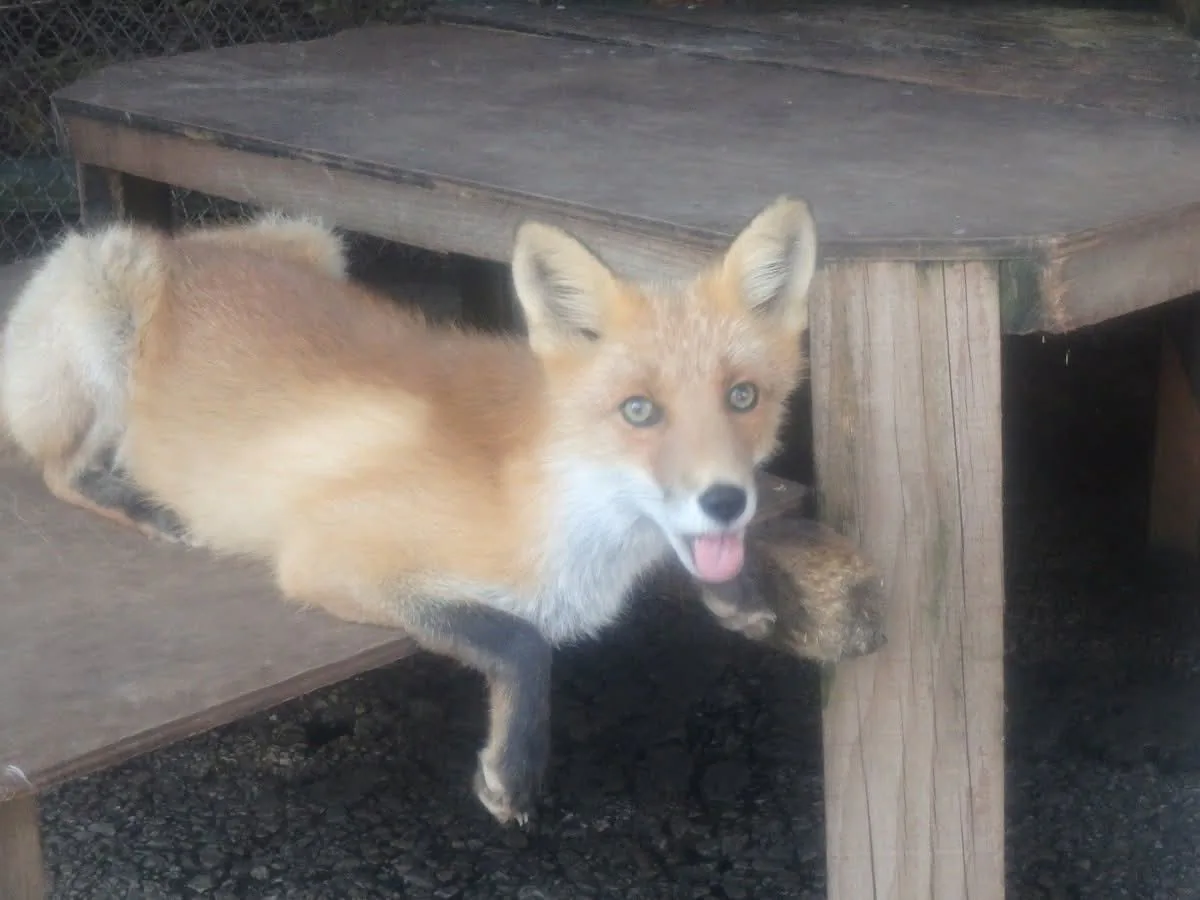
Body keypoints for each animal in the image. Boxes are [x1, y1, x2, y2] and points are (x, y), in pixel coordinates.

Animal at [0, 196, 819, 826]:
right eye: (639, 411)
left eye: (743, 397)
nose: (725, 500)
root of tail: (171, 242)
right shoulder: (327, 558)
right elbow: (520, 639)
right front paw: (515, 769)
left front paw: (736, 590)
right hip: (105, 318)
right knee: (59, 470)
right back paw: (137, 501)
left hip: (321, 239)